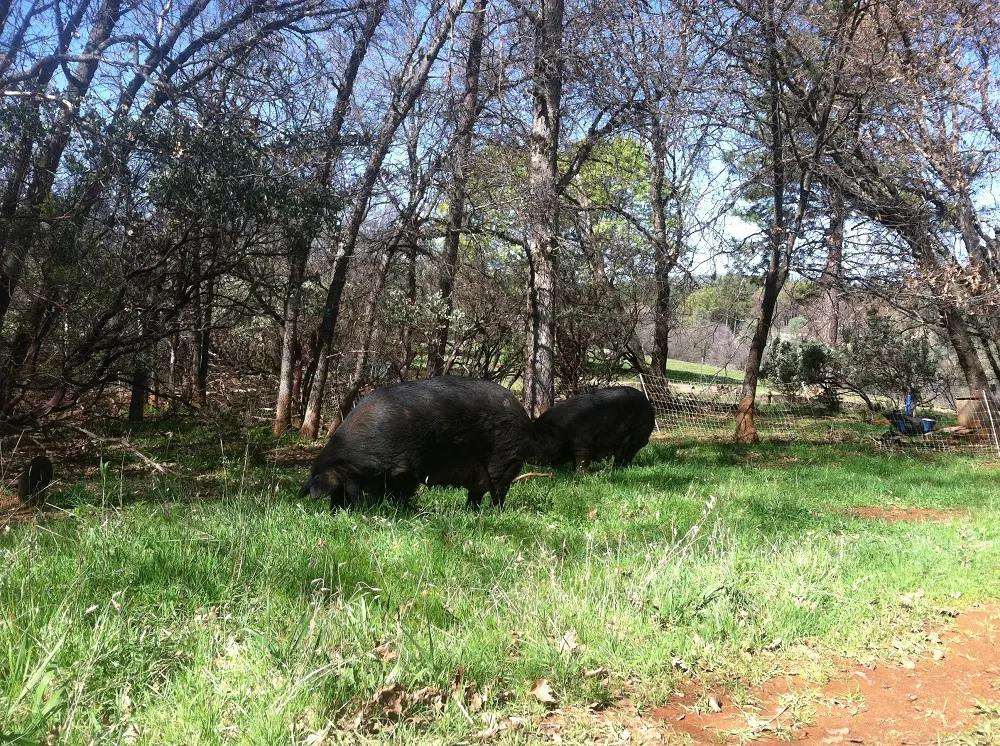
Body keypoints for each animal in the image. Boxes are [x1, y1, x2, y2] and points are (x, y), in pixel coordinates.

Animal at [300, 377, 533, 511]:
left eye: (340, 488)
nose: (336, 512)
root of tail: (522, 412)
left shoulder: (405, 468)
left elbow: (401, 492)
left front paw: (400, 510)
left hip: (505, 457)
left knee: (499, 490)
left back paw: (493, 513)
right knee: (477, 492)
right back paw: (470, 512)